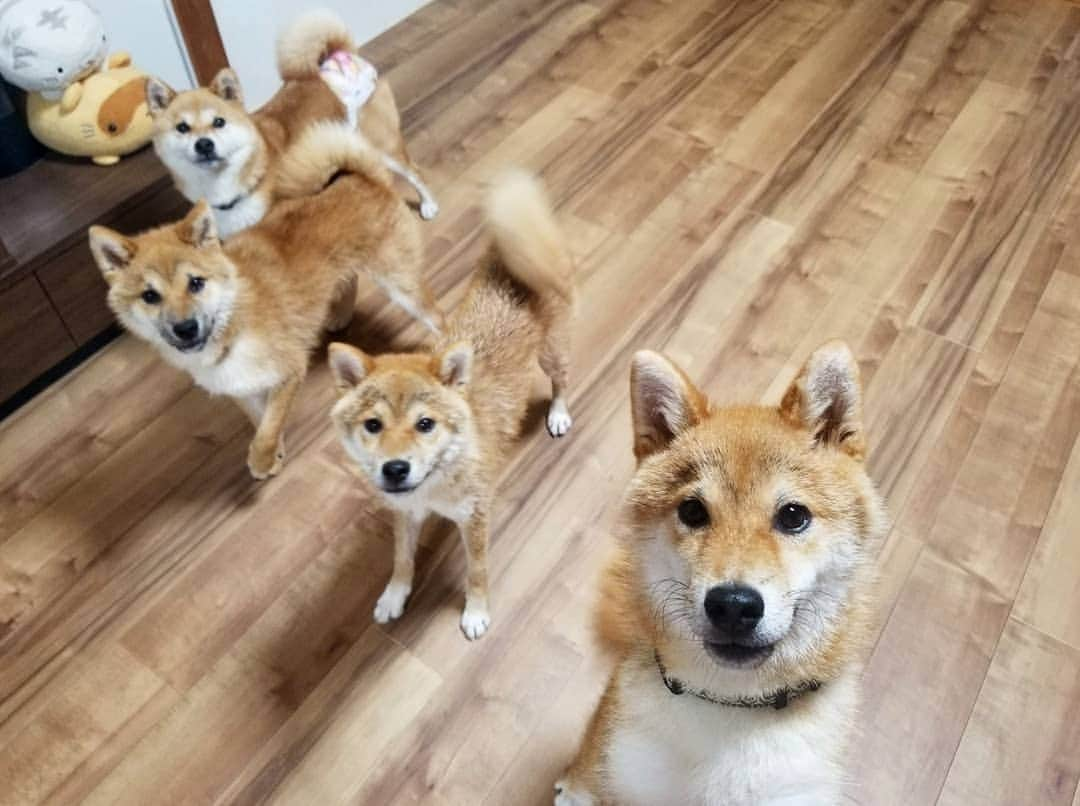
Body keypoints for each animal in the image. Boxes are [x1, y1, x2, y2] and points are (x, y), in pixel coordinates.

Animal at [89, 123, 442, 479]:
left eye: (196, 283)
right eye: (150, 296)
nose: (185, 328)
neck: (231, 322)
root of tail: (359, 177)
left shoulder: (289, 371)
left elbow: (269, 424)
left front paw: (261, 458)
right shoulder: (238, 386)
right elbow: (259, 420)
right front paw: (276, 453)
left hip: (402, 286)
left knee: (439, 318)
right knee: (348, 280)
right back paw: (340, 315)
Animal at [145, 9, 436, 236]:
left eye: (219, 122)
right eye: (182, 128)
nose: (204, 144)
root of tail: (338, 56)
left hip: (382, 144)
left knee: (415, 172)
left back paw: (428, 205)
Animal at [326, 172, 574, 635]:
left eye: (426, 424)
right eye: (373, 425)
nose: (395, 469)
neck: (436, 482)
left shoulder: (475, 517)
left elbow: (477, 571)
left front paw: (476, 612)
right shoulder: (405, 513)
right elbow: (401, 560)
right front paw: (394, 595)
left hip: (553, 353)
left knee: (562, 382)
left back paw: (559, 414)